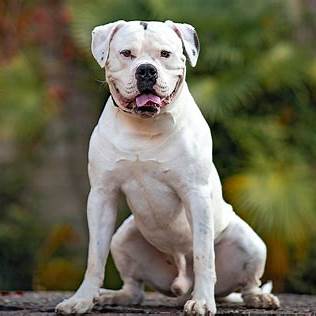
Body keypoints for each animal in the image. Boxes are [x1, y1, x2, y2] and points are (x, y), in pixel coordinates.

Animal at [55, 20, 280, 316]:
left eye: (165, 54)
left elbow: (203, 254)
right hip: (123, 238)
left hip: (249, 243)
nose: (146, 70)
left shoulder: (196, 194)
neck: (144, 127)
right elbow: (95, 256)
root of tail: (181, 286)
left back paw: (257, 298)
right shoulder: (102, 195)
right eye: (126, 53)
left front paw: (203, 302)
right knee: (135, 288)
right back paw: (112, 296)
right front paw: (81, 299)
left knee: (248, 282)